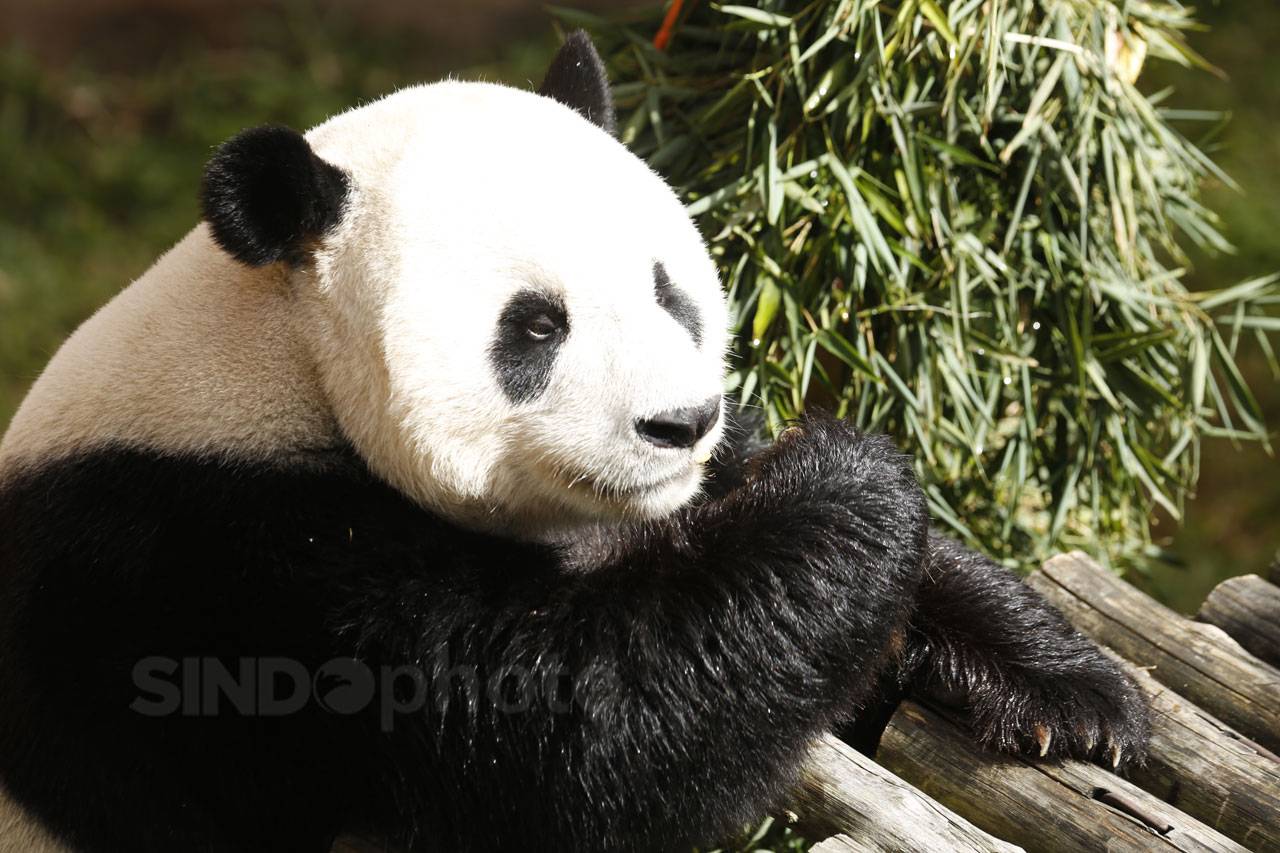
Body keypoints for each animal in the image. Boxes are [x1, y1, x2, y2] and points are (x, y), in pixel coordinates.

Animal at [0, 32, 1148, 853]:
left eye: (667, 288)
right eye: (536, 325)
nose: (679, 423)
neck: (275, 356)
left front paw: (1070, 695)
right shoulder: (220, 565)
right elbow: (575, 721)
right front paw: (849, 482)